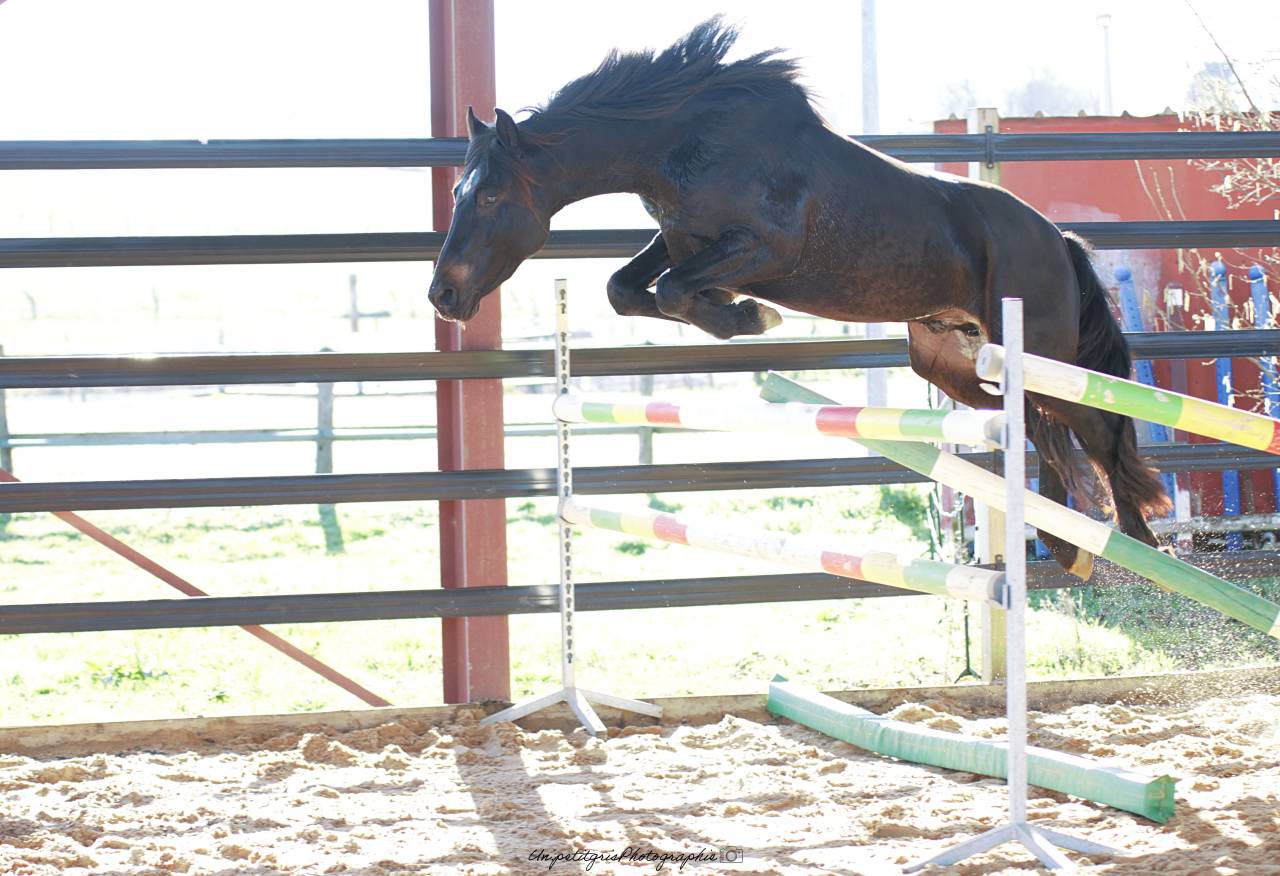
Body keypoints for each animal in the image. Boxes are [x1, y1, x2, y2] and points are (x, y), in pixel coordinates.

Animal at [427, 18, 1171, 578]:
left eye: (488, 196)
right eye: (460, 191)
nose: (442, 295)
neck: (685, 142)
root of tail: (1058, 241)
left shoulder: (760, 249)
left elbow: (673, 290)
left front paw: (751, 315)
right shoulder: (682, 239)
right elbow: (629, 289)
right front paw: (736, 312)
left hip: (1042, 356)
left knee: (1097, 429)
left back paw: (1137, 539)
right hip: (956, 367)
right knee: (1043, 433)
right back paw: (1067, 546)